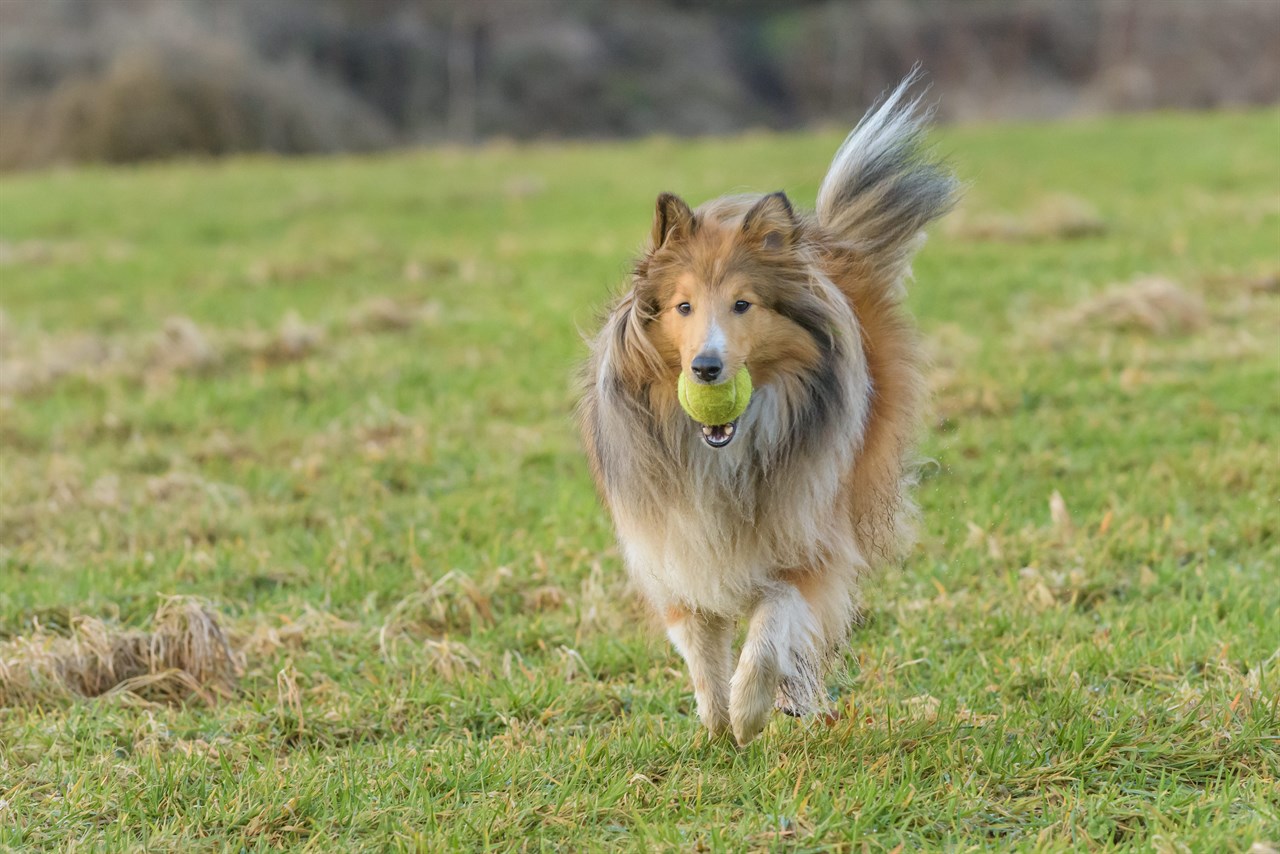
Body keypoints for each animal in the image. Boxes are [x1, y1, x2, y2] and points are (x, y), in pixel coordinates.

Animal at [581, 73, 962, 742]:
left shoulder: (807, 532)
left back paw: (796, 696)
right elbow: (700, 645)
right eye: (683, 306)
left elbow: (773, 620)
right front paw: (714, 722)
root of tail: (828, 244)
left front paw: (749, 709)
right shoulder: (674, 544)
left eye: (743, 304)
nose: (707, 369)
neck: (722, 453)